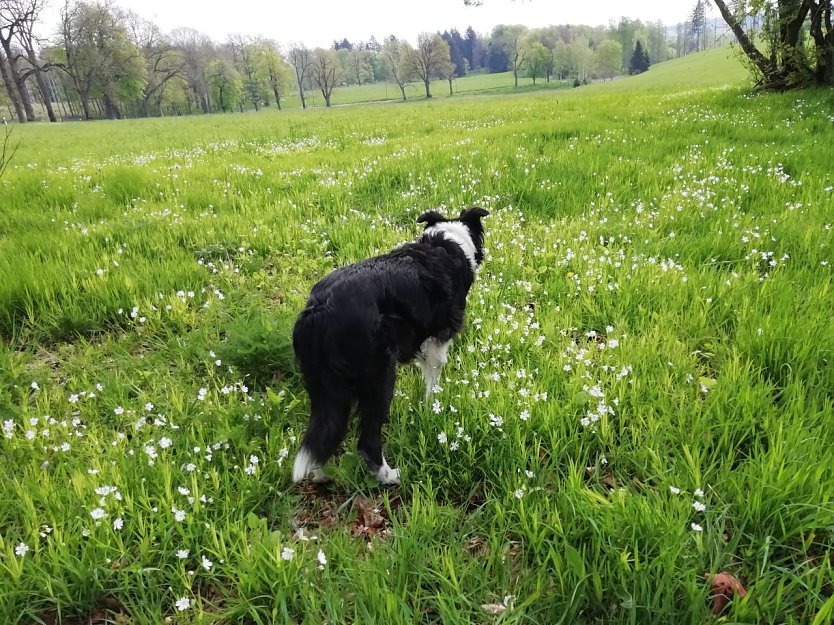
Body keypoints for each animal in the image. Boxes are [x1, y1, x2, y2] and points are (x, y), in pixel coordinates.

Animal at [290, 207, 488, 486]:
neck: (449, 242)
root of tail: (319, 311)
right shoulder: (439, 337)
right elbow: (433, 377)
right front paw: (433, 407)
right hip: (379, 376)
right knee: (367, 440)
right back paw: (389, 476)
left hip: (325, 386)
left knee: (325, 430)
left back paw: (320, 474)